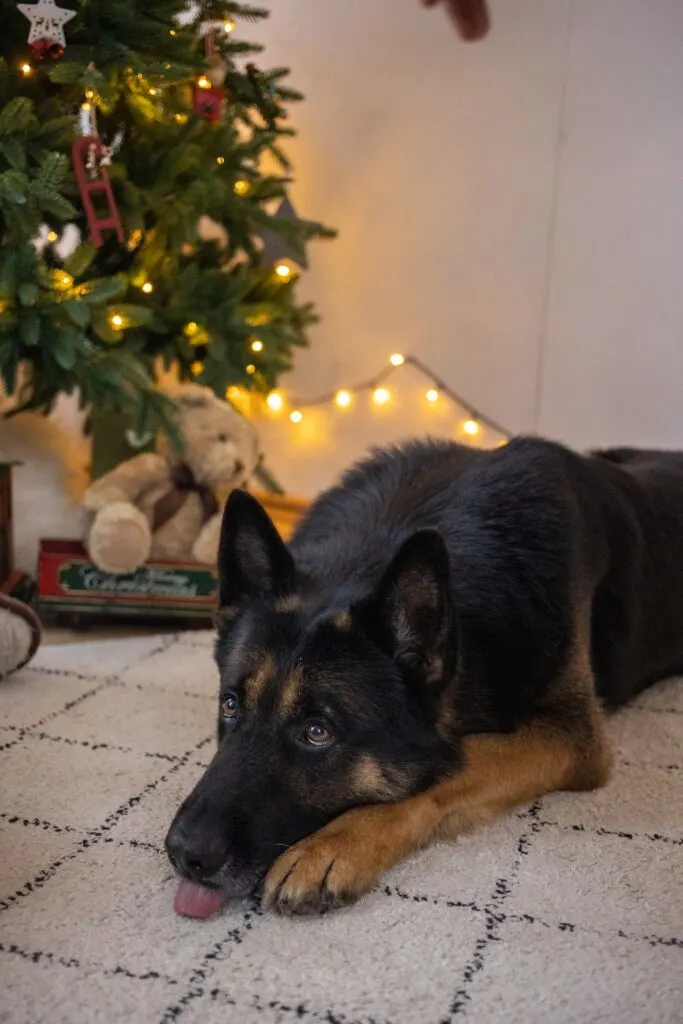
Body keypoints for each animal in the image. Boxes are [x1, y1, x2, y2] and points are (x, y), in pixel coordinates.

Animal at [165, 436, 683, 917]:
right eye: (231, 705)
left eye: (317, 732)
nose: (183, 854)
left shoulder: (571, 737)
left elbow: (454, 765)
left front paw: (332, 845)